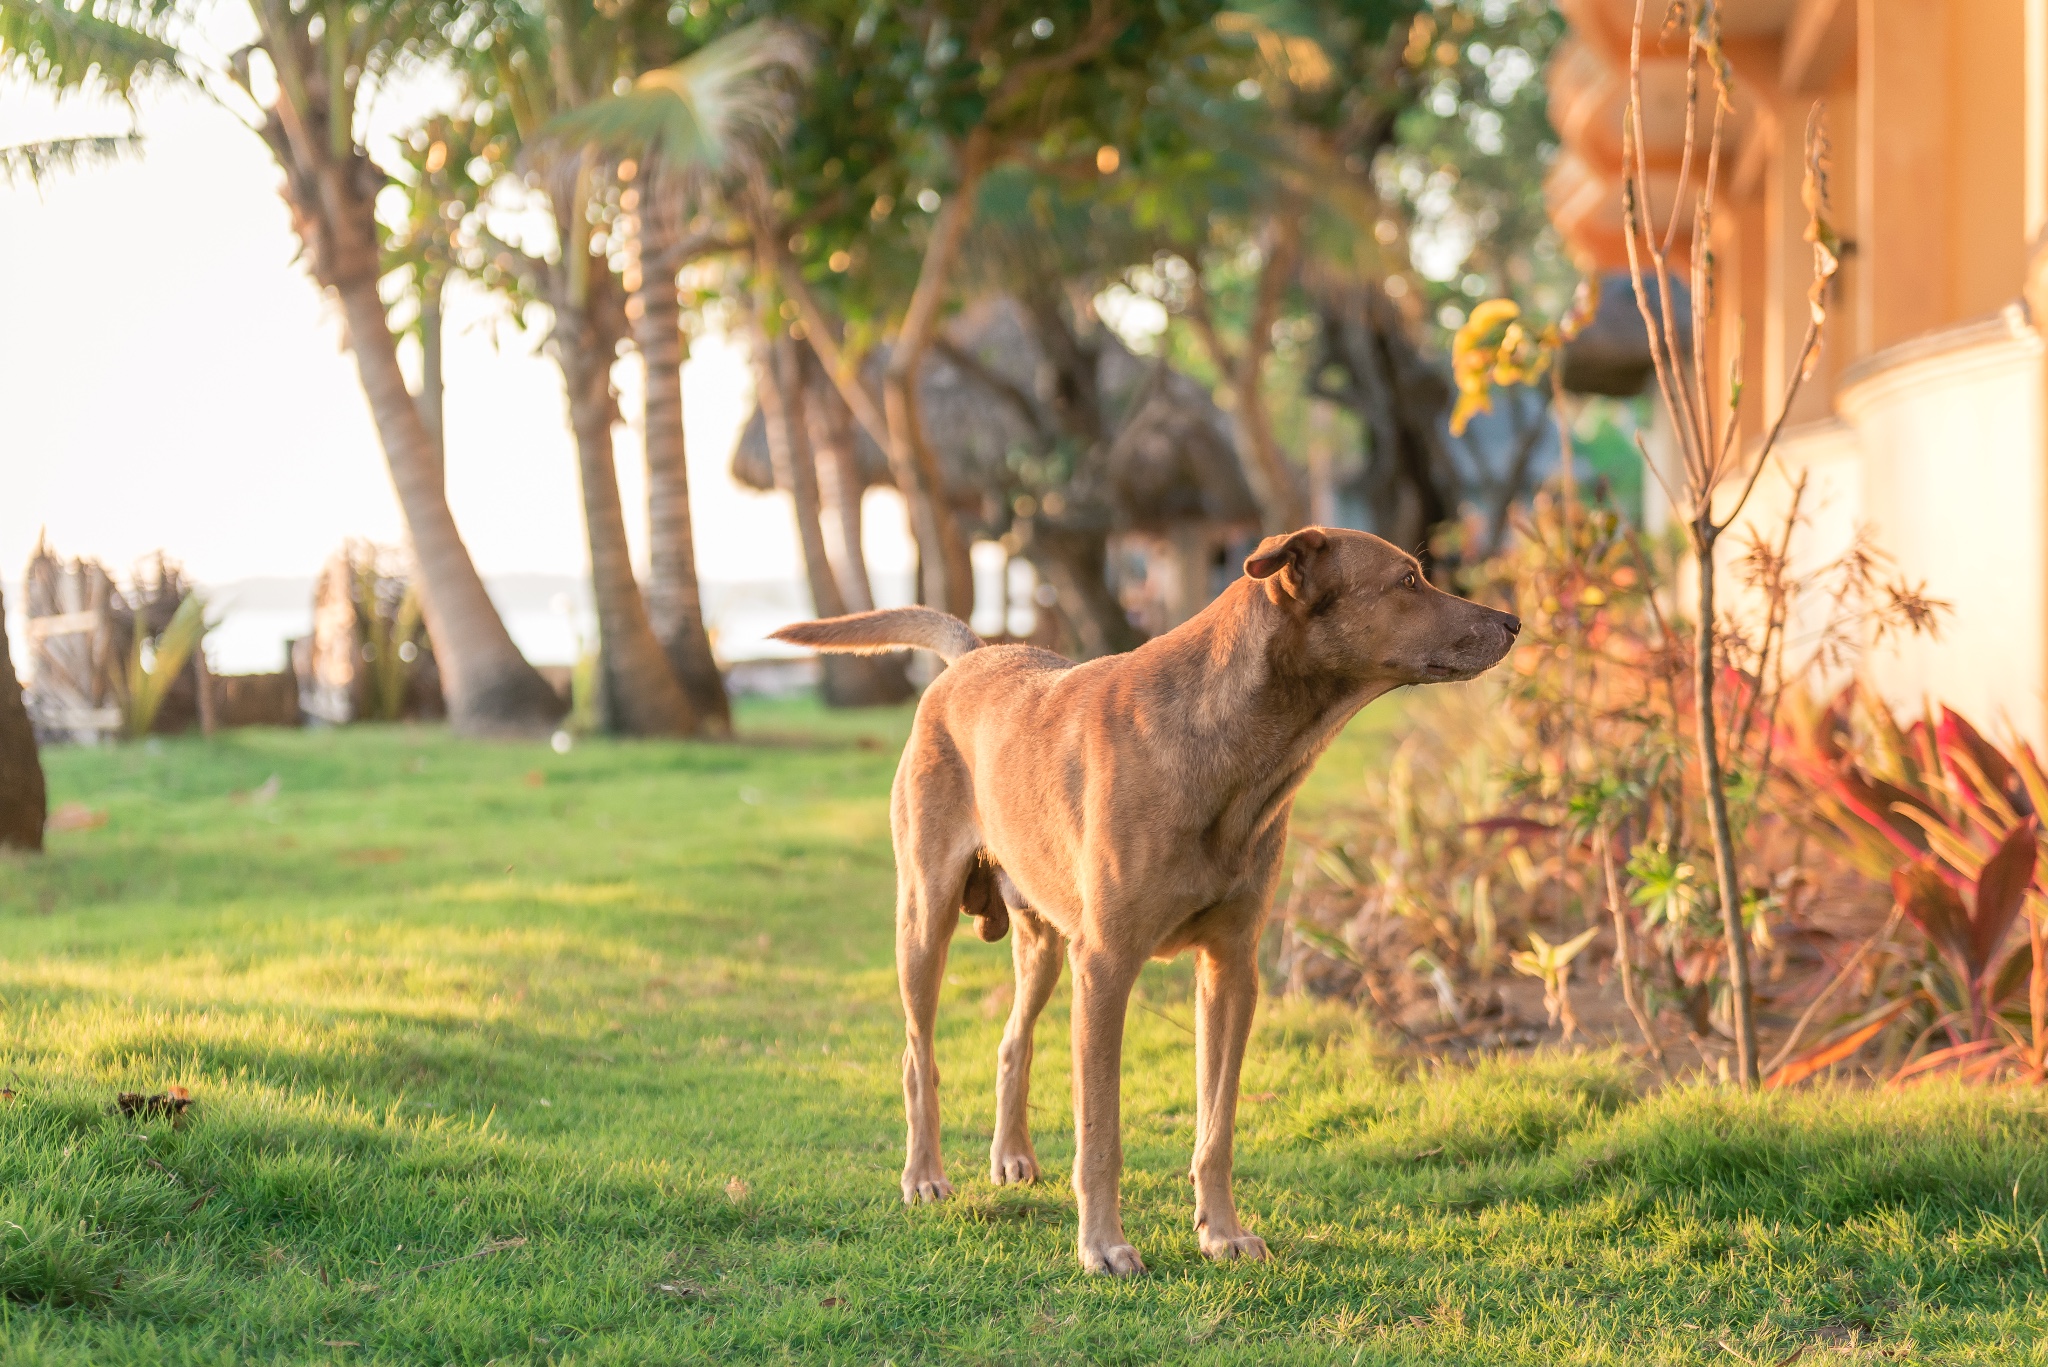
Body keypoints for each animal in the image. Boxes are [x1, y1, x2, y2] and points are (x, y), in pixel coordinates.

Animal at [774, 528, 1515, 1278]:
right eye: (1409, 580)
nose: (1512, 621)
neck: (1239, 747)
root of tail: (975, 655)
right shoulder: (1105, 968)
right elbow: (1100, 1132)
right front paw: (1101, 1243)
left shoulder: (1231, 969)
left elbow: (1217, 1124)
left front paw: (1221, 1231)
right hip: (926, 919)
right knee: (916, 1053)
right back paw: (924, 1174)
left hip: (1044, 941)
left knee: (1014, 1039)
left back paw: (1011, 1154)